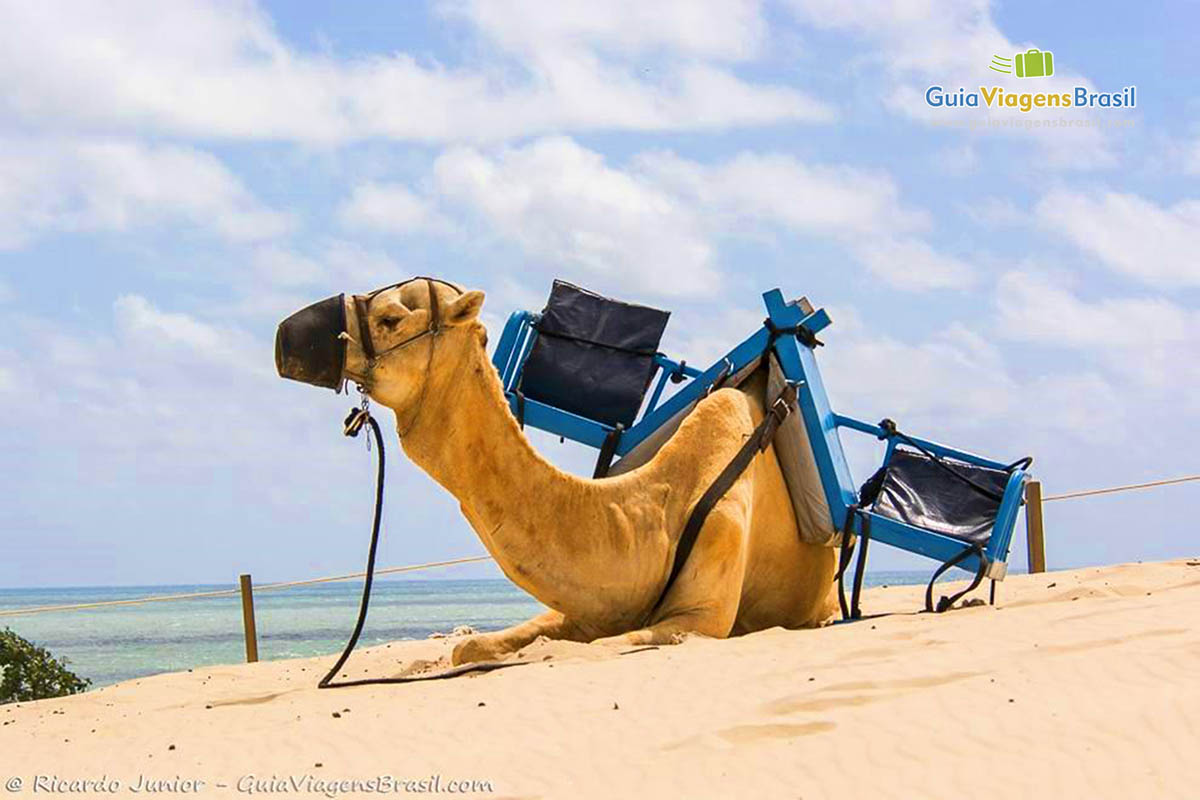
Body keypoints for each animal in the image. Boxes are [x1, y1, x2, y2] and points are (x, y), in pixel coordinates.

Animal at [285, 278, 840, 666]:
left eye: (390, 318)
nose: (287, 335)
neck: (659, 506)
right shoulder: (585, 606)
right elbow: (470, 648)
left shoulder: (704, 617)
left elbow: (604, 645)